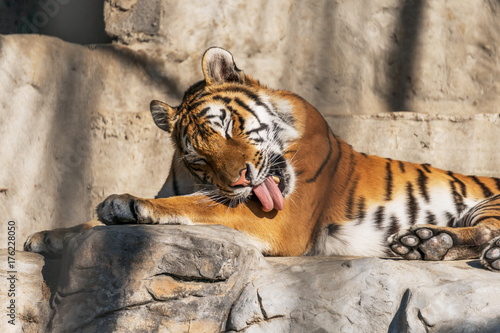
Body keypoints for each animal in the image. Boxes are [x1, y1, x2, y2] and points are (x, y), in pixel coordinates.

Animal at [24, 46, 500, 270]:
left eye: (228, 127)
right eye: (199, 160)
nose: (240, 180)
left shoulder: (280, 217)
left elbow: (195, 205)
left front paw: (125, 203)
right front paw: (47, 236)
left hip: (487, 203)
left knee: (488, 232)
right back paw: (425, 243)